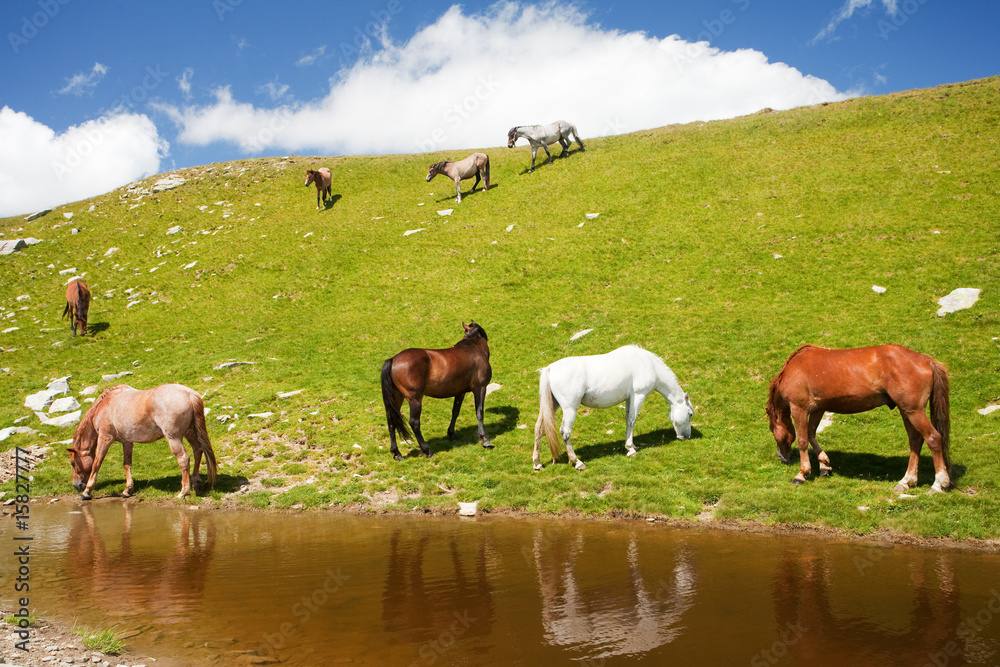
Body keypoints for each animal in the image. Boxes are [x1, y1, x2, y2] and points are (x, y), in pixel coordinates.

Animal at [68, 384, 217, 498]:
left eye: (73, 463)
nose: (76, 485)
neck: (105, 404)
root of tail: (189, 394)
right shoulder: (127, 442)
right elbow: (127, 464)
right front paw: (127, 490)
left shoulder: (105, 438)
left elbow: (96, 463)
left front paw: (87, 492)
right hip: (190, 433)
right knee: (198, 451)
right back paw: (197, 483)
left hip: (174, 438)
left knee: (184, 458)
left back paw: (184, 492)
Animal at [380, 322, 494, 460]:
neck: (473, 348)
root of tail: (393, 360)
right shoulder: (480, 388)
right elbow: (479, 412)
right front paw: (484, 439)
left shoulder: (460, 392)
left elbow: (455, 412)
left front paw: (451, 434)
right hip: (415, 399)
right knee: (414, 422)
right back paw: (427, 450)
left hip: (397, 397)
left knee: (391, 420)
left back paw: (397, 452)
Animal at [536, 348, 692, 472]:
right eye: (690, 414)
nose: (687, 437)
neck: (648, 364)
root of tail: (550, 369)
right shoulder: (638, 395)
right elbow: (632, 420)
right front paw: (631, 450)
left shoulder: (630, 399)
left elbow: (628, 420)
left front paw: (632, 445)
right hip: (570, 409)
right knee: (565, 432)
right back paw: (577, 462)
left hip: (553, 406)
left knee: (539, 429)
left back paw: (537, 464)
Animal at [764, 348, 952, 494]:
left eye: (773, 429)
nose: (781, 457)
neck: (795, 367)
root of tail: (927, 360)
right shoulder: (818, 408)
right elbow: (811, 435)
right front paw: (824, 465)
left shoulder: (799, 408)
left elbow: (803, 439)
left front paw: (802, 474)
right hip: (907, 411)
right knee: (915, 440)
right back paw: (907, 481)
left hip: (914, 411)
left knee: (933, 438)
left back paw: (939, 484)